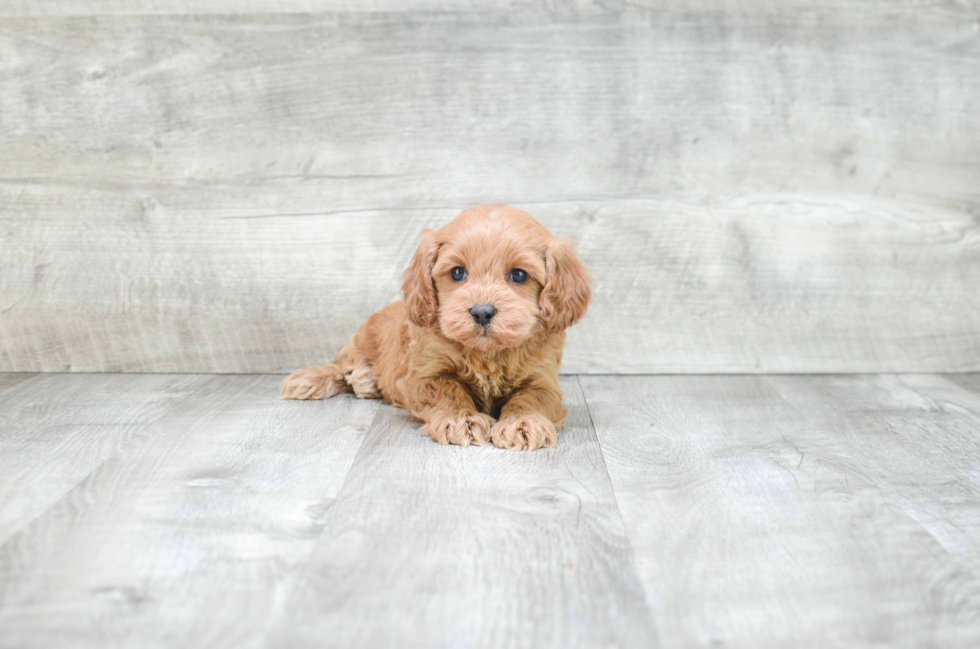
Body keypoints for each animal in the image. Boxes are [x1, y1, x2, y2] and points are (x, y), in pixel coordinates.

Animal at [280, 202, 592, 450]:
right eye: (457, 272)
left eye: (518, 275)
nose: (481, 312)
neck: (487, 354)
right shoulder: (424, 374)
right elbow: (447, 389)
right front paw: (462, 420)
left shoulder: (543, 378)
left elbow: (532, 397)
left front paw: (523, 423)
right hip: (360, 340)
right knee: (340, 365)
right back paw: (318, 379)